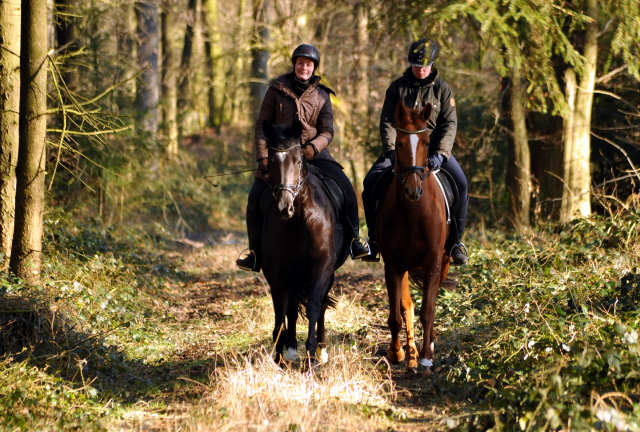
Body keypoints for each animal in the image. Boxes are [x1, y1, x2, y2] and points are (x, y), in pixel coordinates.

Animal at [258, 119, 344, 368]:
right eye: (271, 161)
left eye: (298, 161)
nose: (284, 207)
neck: (298, 220)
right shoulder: (277, 271)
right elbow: (281, 308)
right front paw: (280, 353)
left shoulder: (323, 265)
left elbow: (315, 304)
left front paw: (312, 355)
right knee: (293, 307)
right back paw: (291, 349)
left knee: (320, 303)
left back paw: (321, 350)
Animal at [378, 101, 452, 372]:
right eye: (399, 143)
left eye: (427, 142)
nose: (413, 190)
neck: (412, 211)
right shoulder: (393, 264)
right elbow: (396, 315)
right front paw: (396, 352)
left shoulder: (433, 261)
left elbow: (428, 310)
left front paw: (426, 355)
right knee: (406, 305)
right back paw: (409, 354)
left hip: (445, 262)